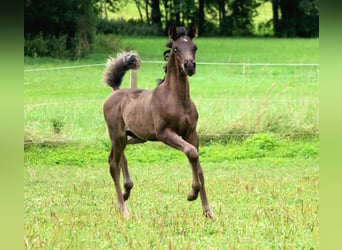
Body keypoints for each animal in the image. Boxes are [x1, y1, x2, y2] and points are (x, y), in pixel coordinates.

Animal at [102, 23, 214, 219]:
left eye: (194, 47)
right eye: (176, 48)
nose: (189, 66)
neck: (178, 99)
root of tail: (115, 91)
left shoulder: (192, 133)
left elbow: (199, 168)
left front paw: (208, 211)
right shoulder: (165, 134)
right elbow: (192, 153)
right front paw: (191, 194)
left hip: (133, 137)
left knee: (115, 158)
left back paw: (126, 191)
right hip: (117, 135)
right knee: (113, 165)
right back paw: (124, 210)